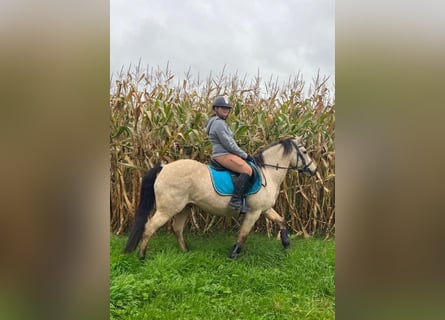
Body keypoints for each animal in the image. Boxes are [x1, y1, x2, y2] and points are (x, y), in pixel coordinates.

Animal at [123, 136, 318, 260]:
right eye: (305, 151)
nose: (314, 170)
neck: (268, 172)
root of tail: (164, 167)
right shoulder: (254, 212)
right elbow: (244, 234)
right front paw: (234, 254)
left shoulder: (265, 209)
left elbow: (282, 220)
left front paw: (286, 244)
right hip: (167, 209)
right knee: (150, 227)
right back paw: (142, 256)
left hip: (184, 208)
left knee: (177, 229)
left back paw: (185, 252)